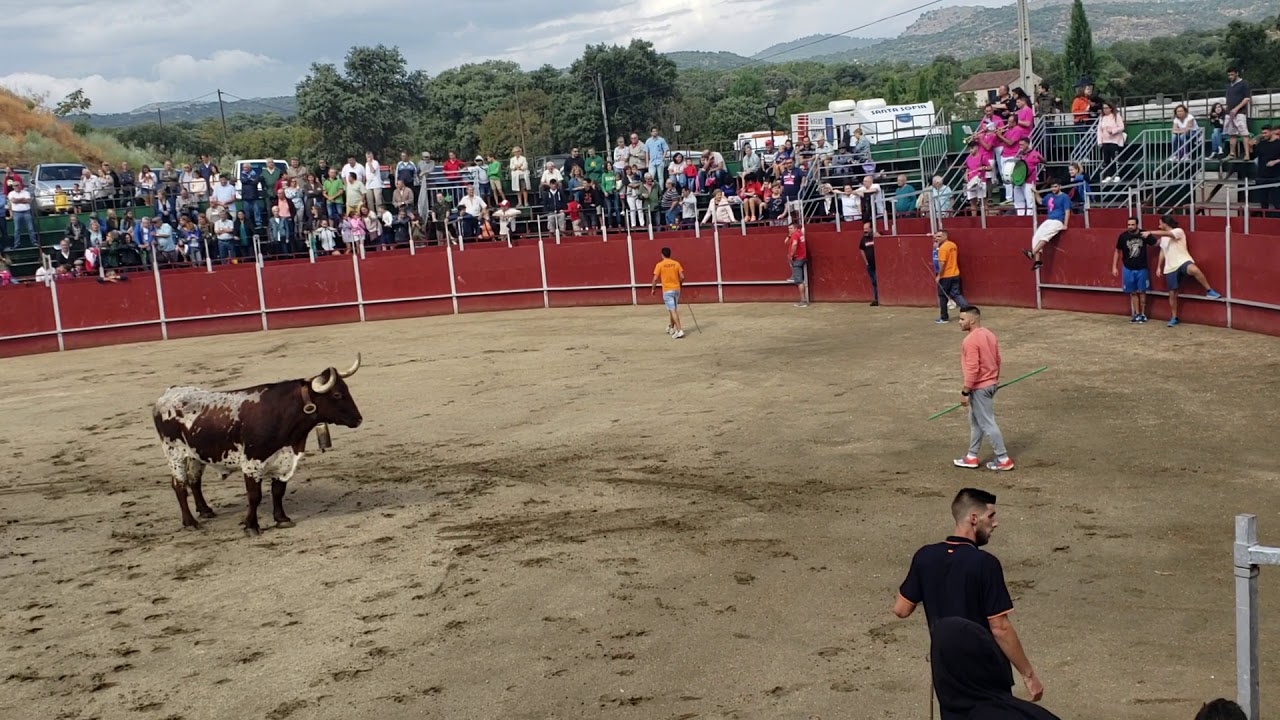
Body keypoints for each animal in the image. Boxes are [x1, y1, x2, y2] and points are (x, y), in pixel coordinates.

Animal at [156, 353, 366, 532]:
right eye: (337, 395)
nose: (358, 419)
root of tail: (168, 393)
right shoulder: (251, 463)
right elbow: (254, 496)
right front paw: (251, 526)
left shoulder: (284, 459)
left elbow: (278, 491)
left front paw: (281, 519)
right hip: (174, 453)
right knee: (179, 485)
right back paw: (190, 522)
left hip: (195, 455)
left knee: (194, 480)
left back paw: (205, 510)